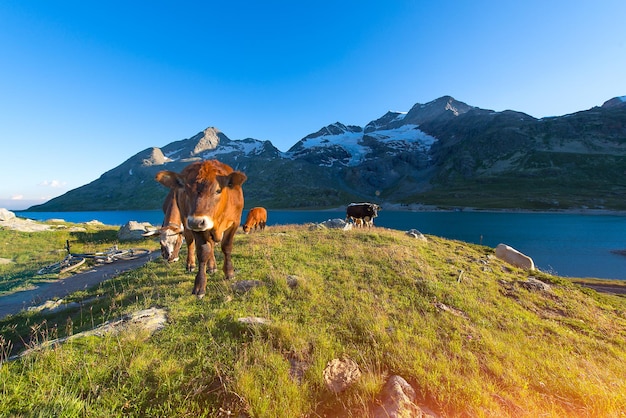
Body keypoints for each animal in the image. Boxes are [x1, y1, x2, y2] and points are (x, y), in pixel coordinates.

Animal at [154, 158, 246, 298]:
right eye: (186, 191)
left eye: (218, 190)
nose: (196, 222)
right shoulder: (196, 227)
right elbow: (203, 252)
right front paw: (200, 285)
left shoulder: (235, 222)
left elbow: (226, 247)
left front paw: (229, 272)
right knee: (192, 243)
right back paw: (192, 264)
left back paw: (212, 266)